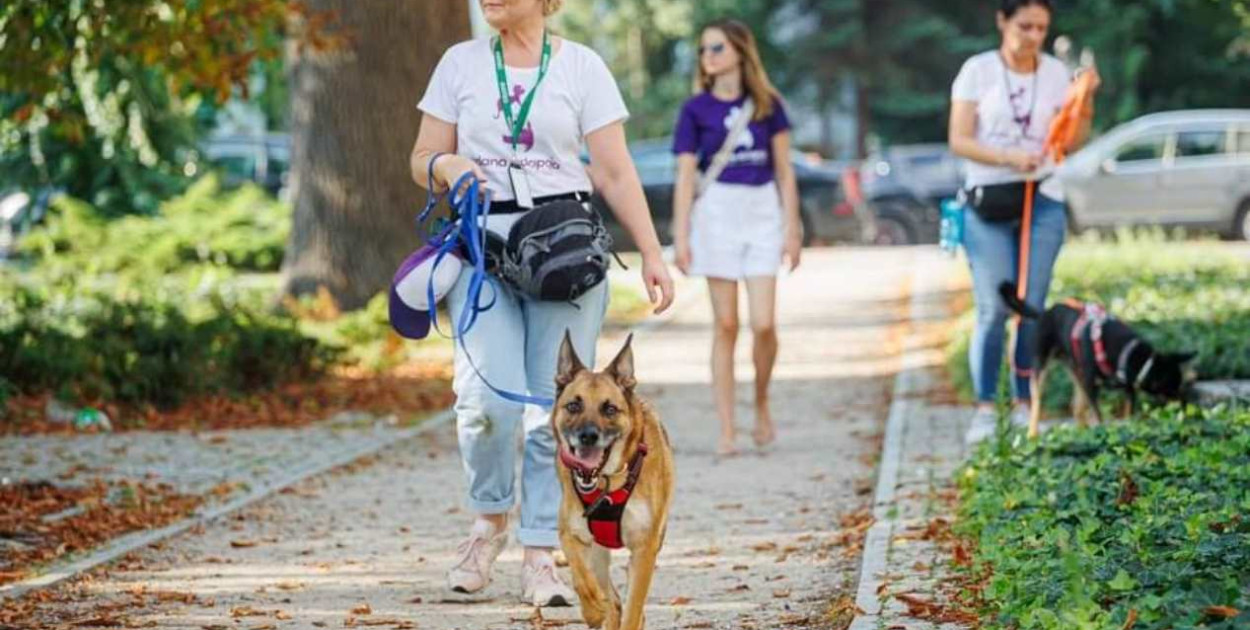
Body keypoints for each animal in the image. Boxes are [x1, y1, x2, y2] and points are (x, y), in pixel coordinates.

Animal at [555, 335, 675, 630]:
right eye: (573, 405)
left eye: (609, 409)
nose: (588, 436)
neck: (608, 484)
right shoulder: (570, 533)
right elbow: (580, 576)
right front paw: (591, 609)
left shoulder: (644, 548)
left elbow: (633, 611)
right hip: (598, 550)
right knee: (612, 599)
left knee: (629, 605)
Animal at [995, 281, 1190, 437]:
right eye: (1172, 387)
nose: (1184, 406)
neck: (1128, 353)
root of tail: (1045, 312)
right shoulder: (1091, 384)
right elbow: (1098, 414)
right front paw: (1103, 431)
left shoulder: (1127, 387)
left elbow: (1128, 411)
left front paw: (1129, 428)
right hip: (1042, 368)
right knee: (1037, 402)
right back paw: (1033, 433)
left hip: (1076, 371)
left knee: (1077, 408)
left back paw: (1083, 431)